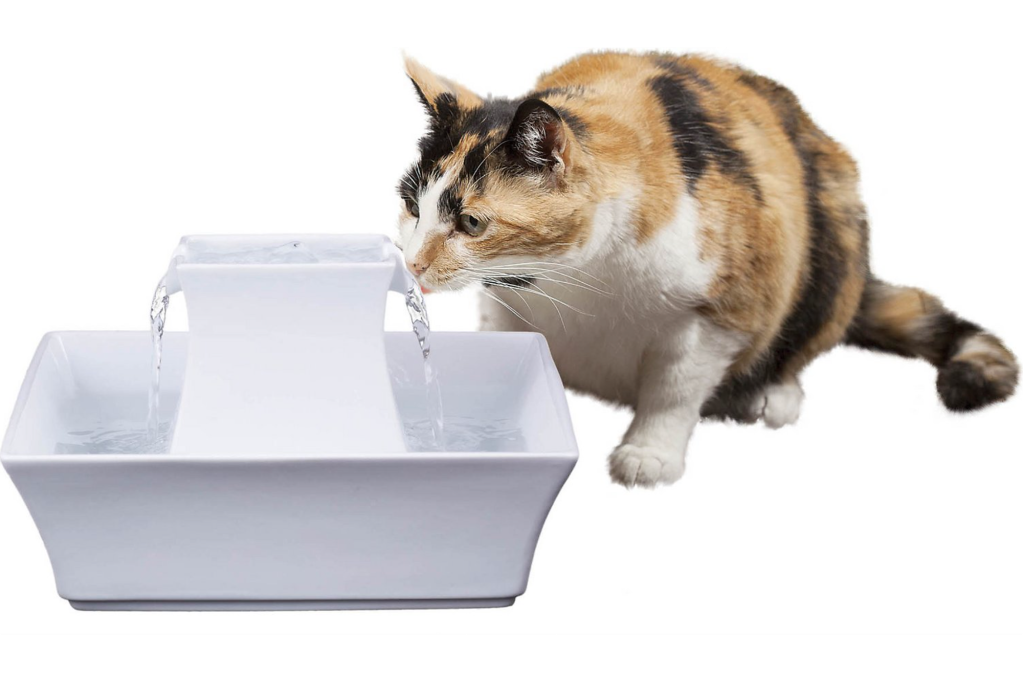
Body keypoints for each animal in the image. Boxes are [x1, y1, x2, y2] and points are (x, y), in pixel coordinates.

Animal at [390, 54, 1014, 490]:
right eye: (413, 205)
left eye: (471, 222)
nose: (412, 262)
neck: (582, 279)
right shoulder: (506, 305)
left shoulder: (725, 309)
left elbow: (675, 385)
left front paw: (649, 454)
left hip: (835, 235)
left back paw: (774, 395)